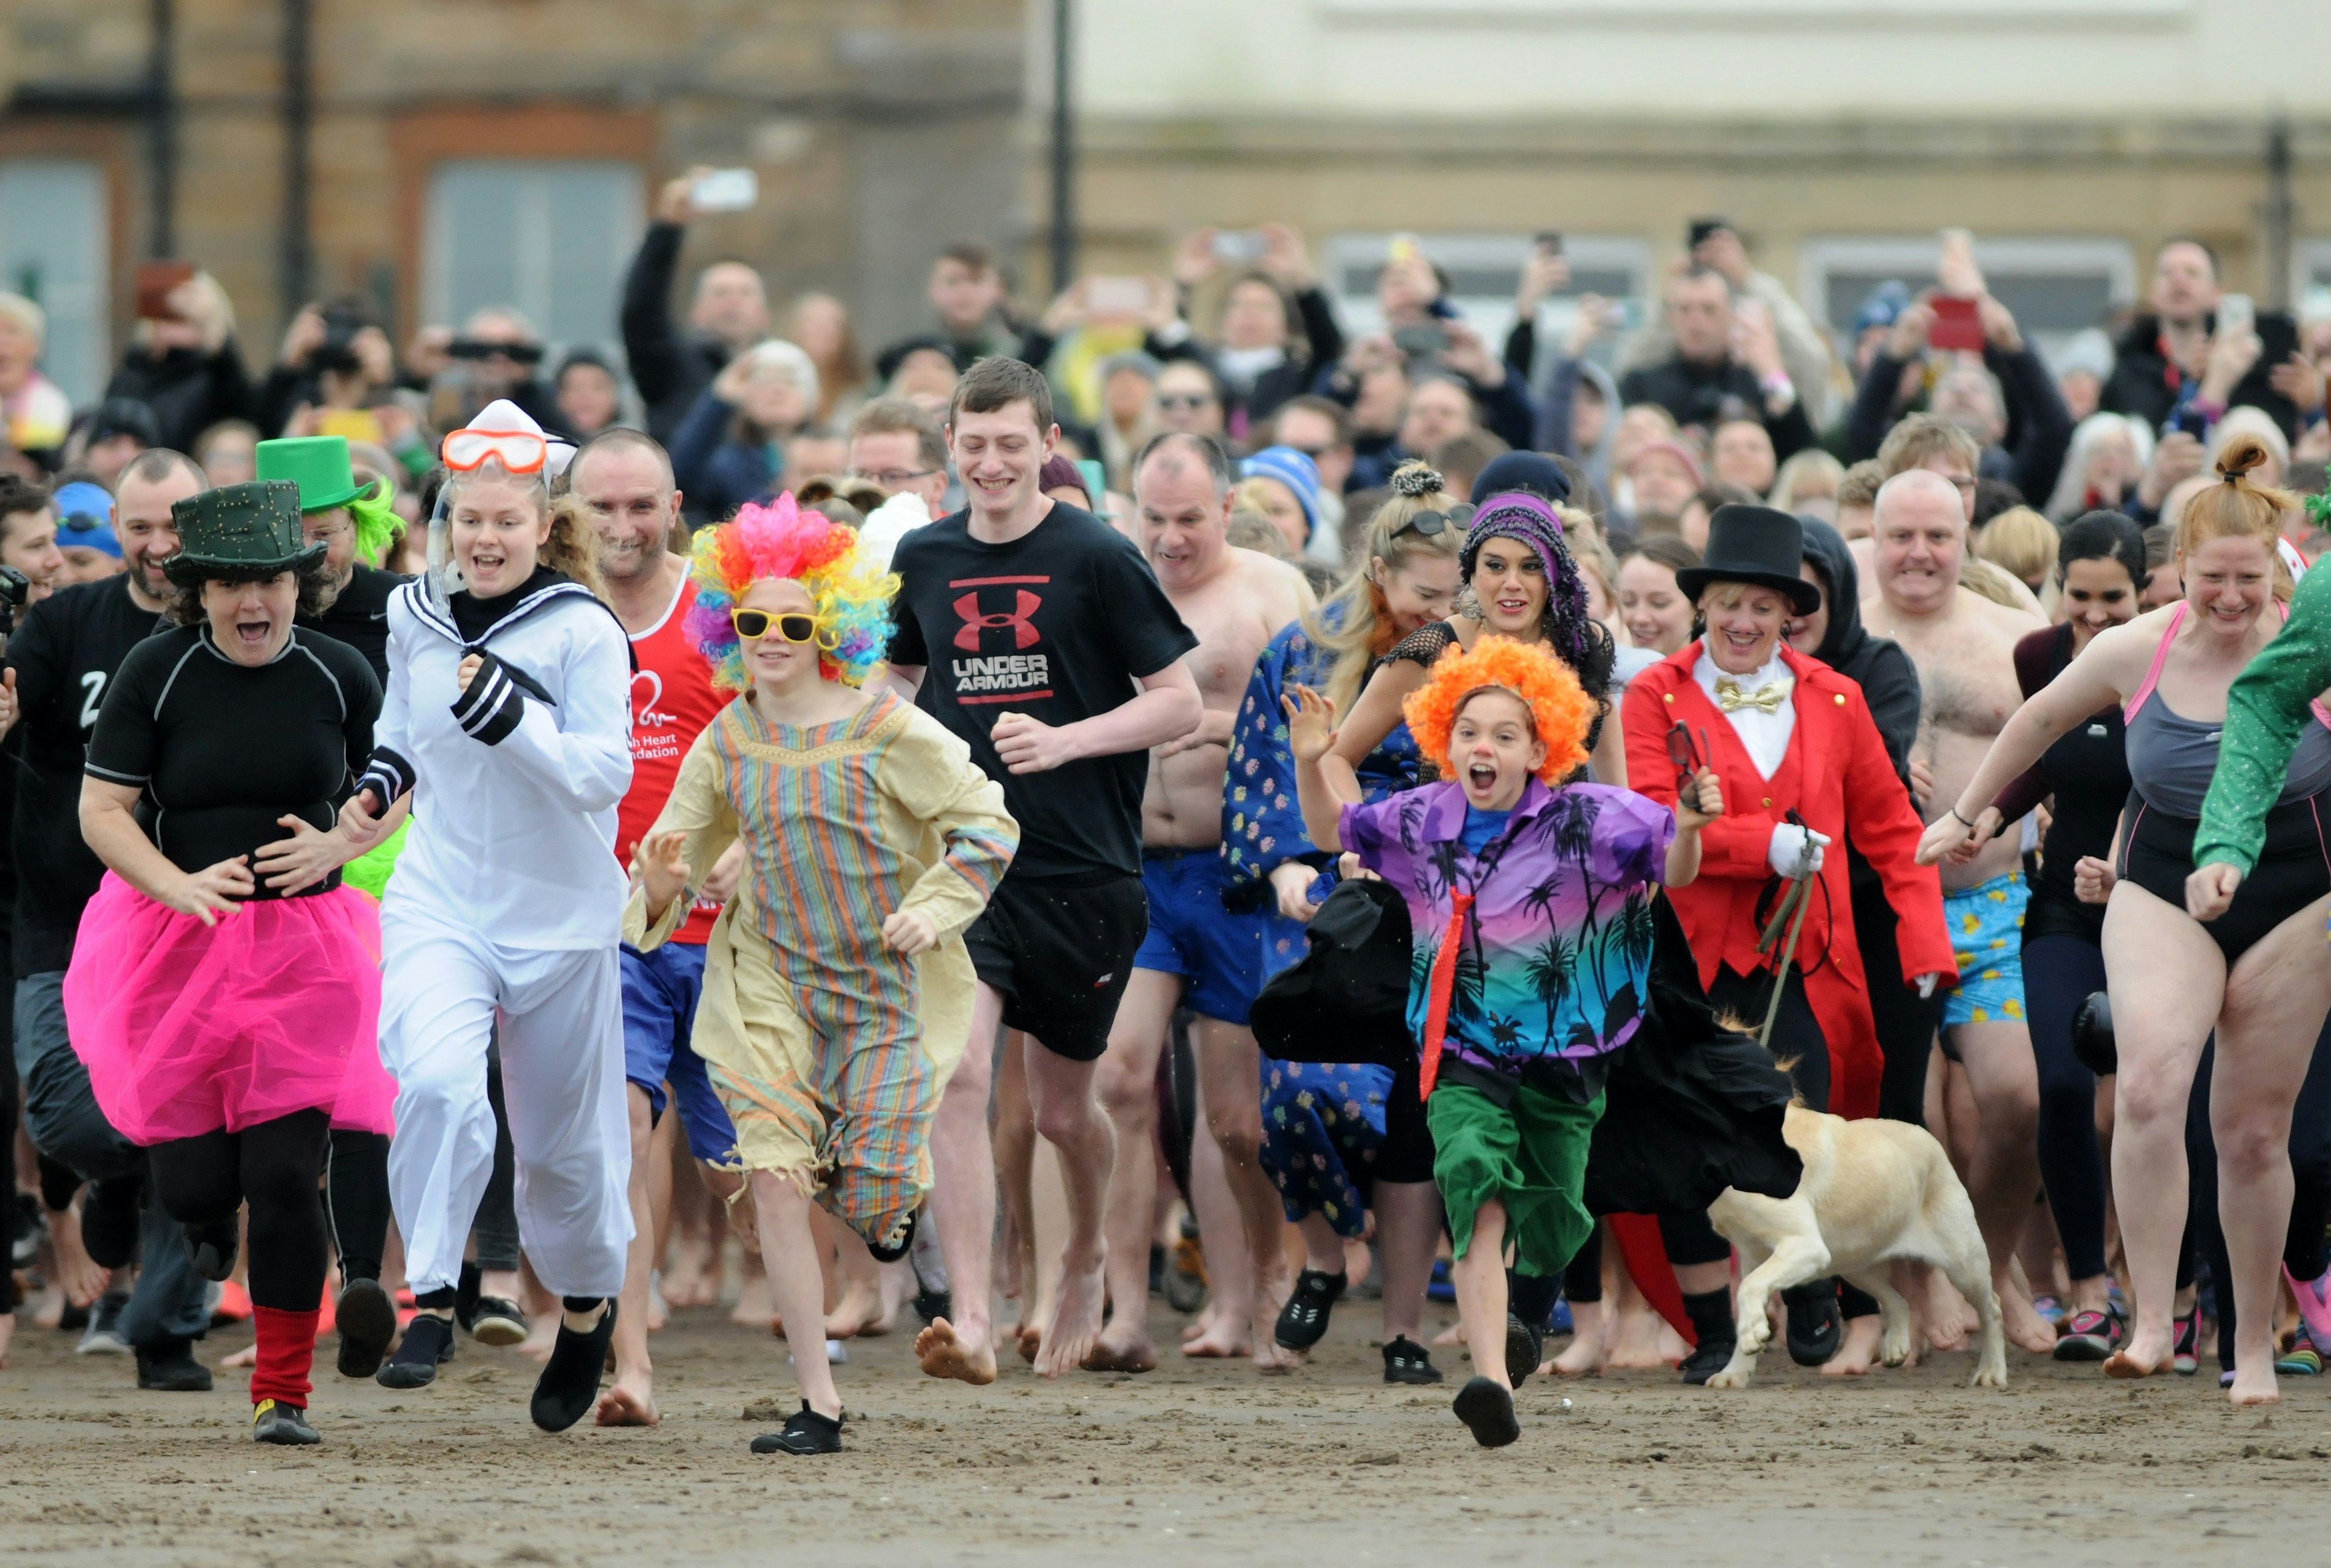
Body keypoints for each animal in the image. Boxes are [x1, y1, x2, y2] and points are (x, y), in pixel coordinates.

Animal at [1697, 1095, 2004, 1388]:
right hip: (1854, 1265)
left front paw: (1752, 1336)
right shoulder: (1751, 1254)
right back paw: (1896, 1348)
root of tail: (1929, 1139)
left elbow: (1748, 1288)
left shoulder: (1805, 1245)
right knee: (1899, 1301)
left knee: (1993, 1309)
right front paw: (1734, 1373)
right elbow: (1746, 1295)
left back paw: (1991, 1372)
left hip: (1963, 1263)